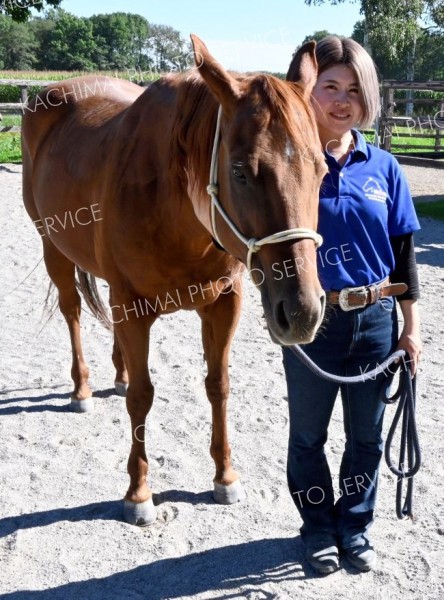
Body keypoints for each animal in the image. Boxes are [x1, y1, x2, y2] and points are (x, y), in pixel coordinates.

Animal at [21, 36, 326, 524]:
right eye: (240, 171)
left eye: (322, 170)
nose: (301, 311)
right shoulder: (132, 307)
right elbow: (142, 397)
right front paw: (139, 493)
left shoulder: (224, 302)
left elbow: (218, 385)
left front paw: (225, 477)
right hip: (53, 247)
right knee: (72, 312)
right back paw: (82, 387)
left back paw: (118, 373)